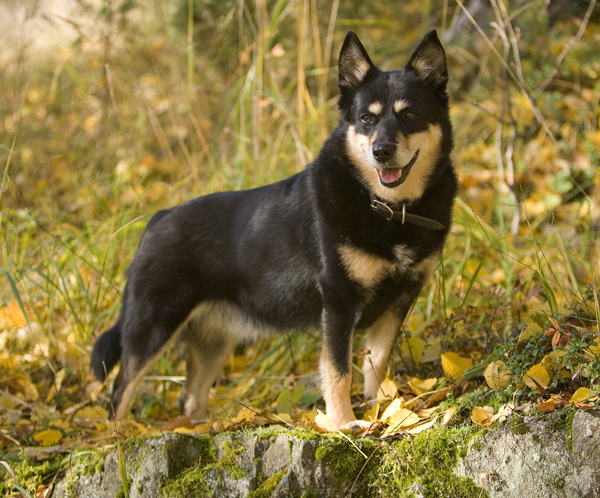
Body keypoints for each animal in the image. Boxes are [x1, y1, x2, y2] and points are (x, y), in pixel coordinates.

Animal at [90, 29, 454, 430]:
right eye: (366, 118)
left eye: (411, 115)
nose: (382, 151)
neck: (387, 208)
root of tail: (156, 221)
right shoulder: (338, 302)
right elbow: (338, 371)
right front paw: (343, 424)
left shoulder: (398, 301)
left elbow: (375, 365)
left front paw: (382, 411)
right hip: (151, 327)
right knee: (119, 393)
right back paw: (120, 437)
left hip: (212, 339)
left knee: (190, 398)